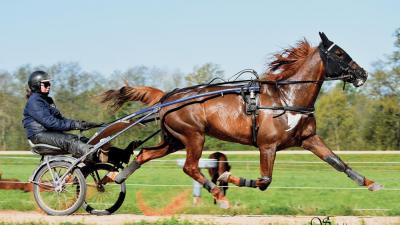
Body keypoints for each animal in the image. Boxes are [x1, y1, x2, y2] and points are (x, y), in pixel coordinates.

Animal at [100, 32, 382, 208]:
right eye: (341, 54)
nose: (362, 74)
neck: (286, 99)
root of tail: (166, 96)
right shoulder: (267, 145)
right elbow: (264, 181)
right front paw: (227, 178)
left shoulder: (308, 139)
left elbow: (338, 163)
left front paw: (370, 183)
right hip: (194, 136)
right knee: (190, 167)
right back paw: (218, 194)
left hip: (175, 140)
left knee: (144, 154)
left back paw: (113, 178)